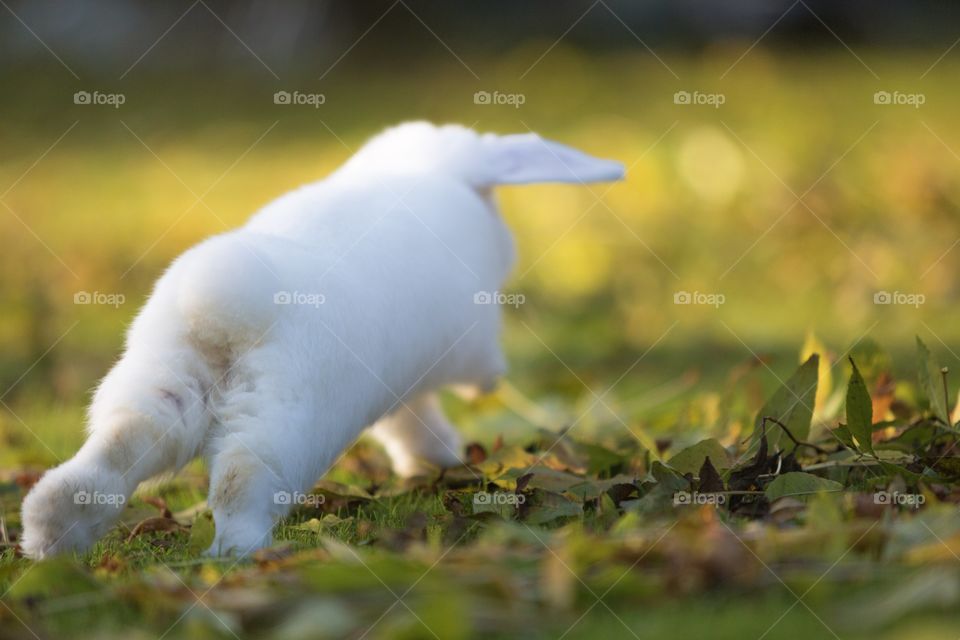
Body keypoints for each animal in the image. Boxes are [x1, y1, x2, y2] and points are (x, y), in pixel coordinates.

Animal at [19, 121, 624, 558]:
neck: (435, 171)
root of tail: (223, 312)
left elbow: (407, 419)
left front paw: (431, 456)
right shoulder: (467, 340)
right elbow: (442, 394)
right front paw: (456, 431)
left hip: (155, 395)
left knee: (102, 464)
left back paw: (50, 541)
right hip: (285, 429)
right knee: (240, 482)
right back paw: (241, 553)